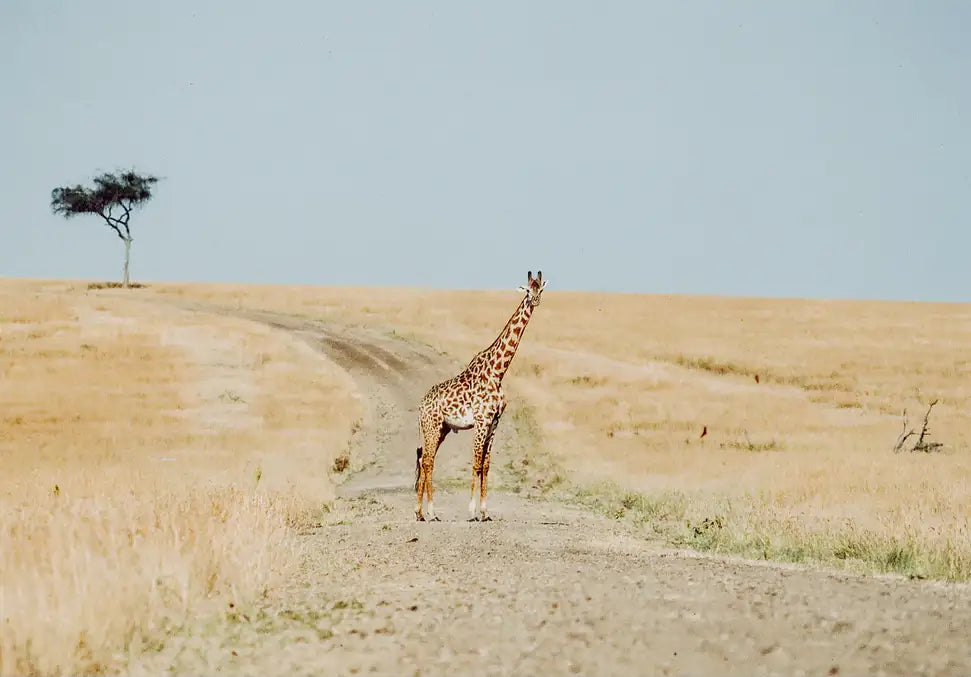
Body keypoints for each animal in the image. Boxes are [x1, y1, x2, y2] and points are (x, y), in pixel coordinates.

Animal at [414, 270, 547, 522]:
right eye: (527, 289)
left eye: (540, 289)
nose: (534, 301)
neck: (498, 372)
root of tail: (421, 404)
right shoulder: (481, 421)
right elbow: (475, 463)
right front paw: (472, 512)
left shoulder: (494, 422)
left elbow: (486, 465)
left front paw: (485, 512)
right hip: (432, 425)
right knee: (427, 461)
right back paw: (431, 513)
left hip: (442, 428)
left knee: (423, 458)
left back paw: (420, 513)